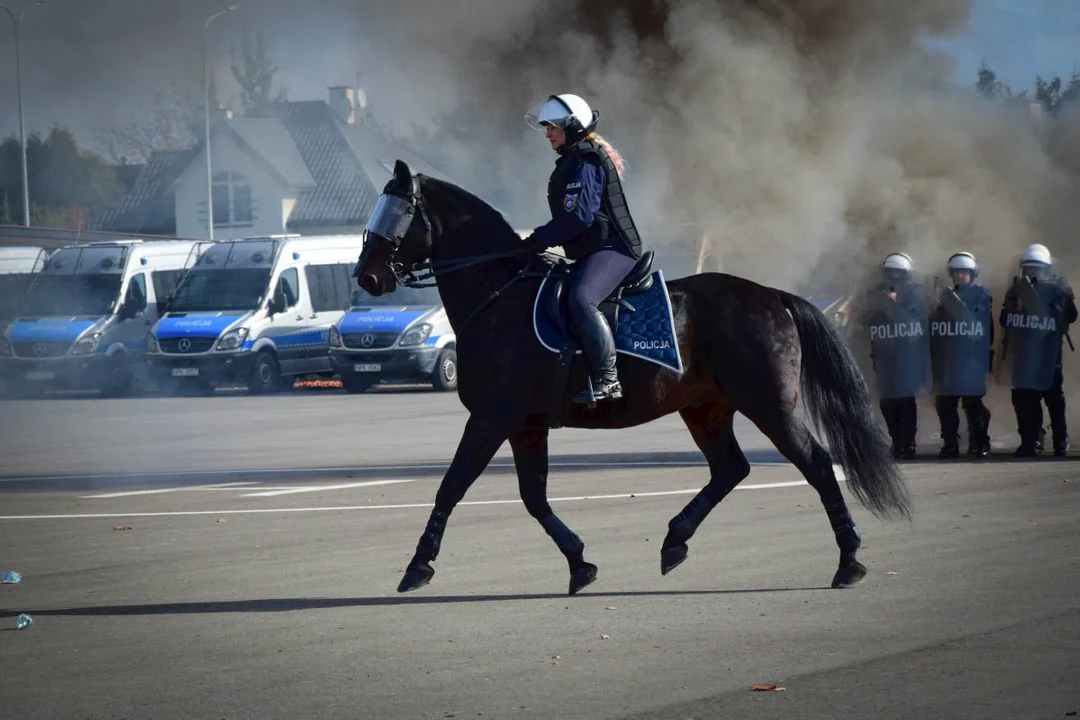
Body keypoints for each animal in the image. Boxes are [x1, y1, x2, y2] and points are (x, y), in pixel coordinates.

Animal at [356, 161, 911, 595]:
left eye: (398, 212)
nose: (367, 277)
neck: (500, 296)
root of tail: (772, 294)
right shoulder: (525, 426)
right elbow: (534, 498)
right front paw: (580, 563)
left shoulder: (492, 418)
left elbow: (451, 487)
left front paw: (417, 566)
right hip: (706, 408)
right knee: (730, 469)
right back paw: (674, 541)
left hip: (770, 405)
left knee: (816, 465)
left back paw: (848, 561)